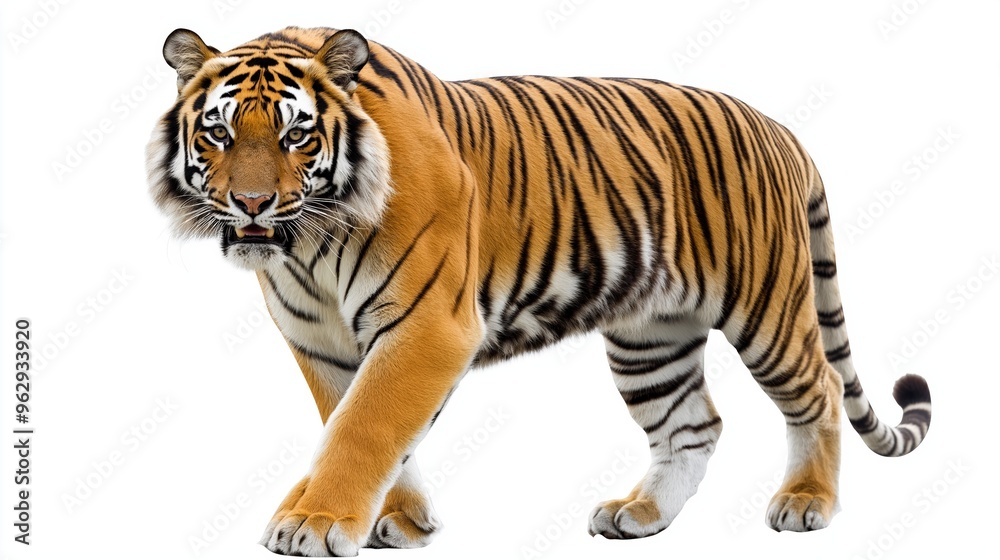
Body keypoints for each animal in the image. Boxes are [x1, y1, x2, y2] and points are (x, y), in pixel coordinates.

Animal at [146, 26, 932, 557]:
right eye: (217, 133)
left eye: (297, 136)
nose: (250, 204)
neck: (308, 246)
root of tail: (779, 129)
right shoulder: (323, 343)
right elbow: (358, 422)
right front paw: (397, 520)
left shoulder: (428, 325)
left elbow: (365, 424)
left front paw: (315, 522)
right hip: (651, 339)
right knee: (693, 424)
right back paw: (641, 515)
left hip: (766, 308)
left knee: (819, 391)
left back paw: (806, 503)